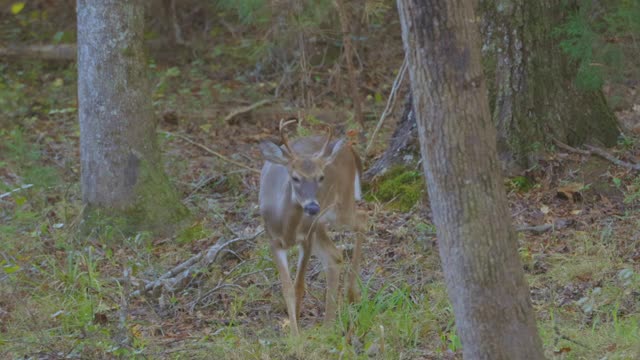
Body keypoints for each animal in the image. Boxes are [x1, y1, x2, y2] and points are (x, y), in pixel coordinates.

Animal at [258, 119, 364, 336]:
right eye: (295, 177)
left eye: (321, 177)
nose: (313, 206)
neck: (286, 228)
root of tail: (350, 149)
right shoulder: (273, 240)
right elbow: (287, 289)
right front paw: (294, 330)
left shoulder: (306, 237)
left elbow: (298, 286)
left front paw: (296, 333)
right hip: (321, 223)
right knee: (335, 255)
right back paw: (328, 325)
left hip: (340, 205)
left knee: (362, 219)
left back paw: (351, 294)